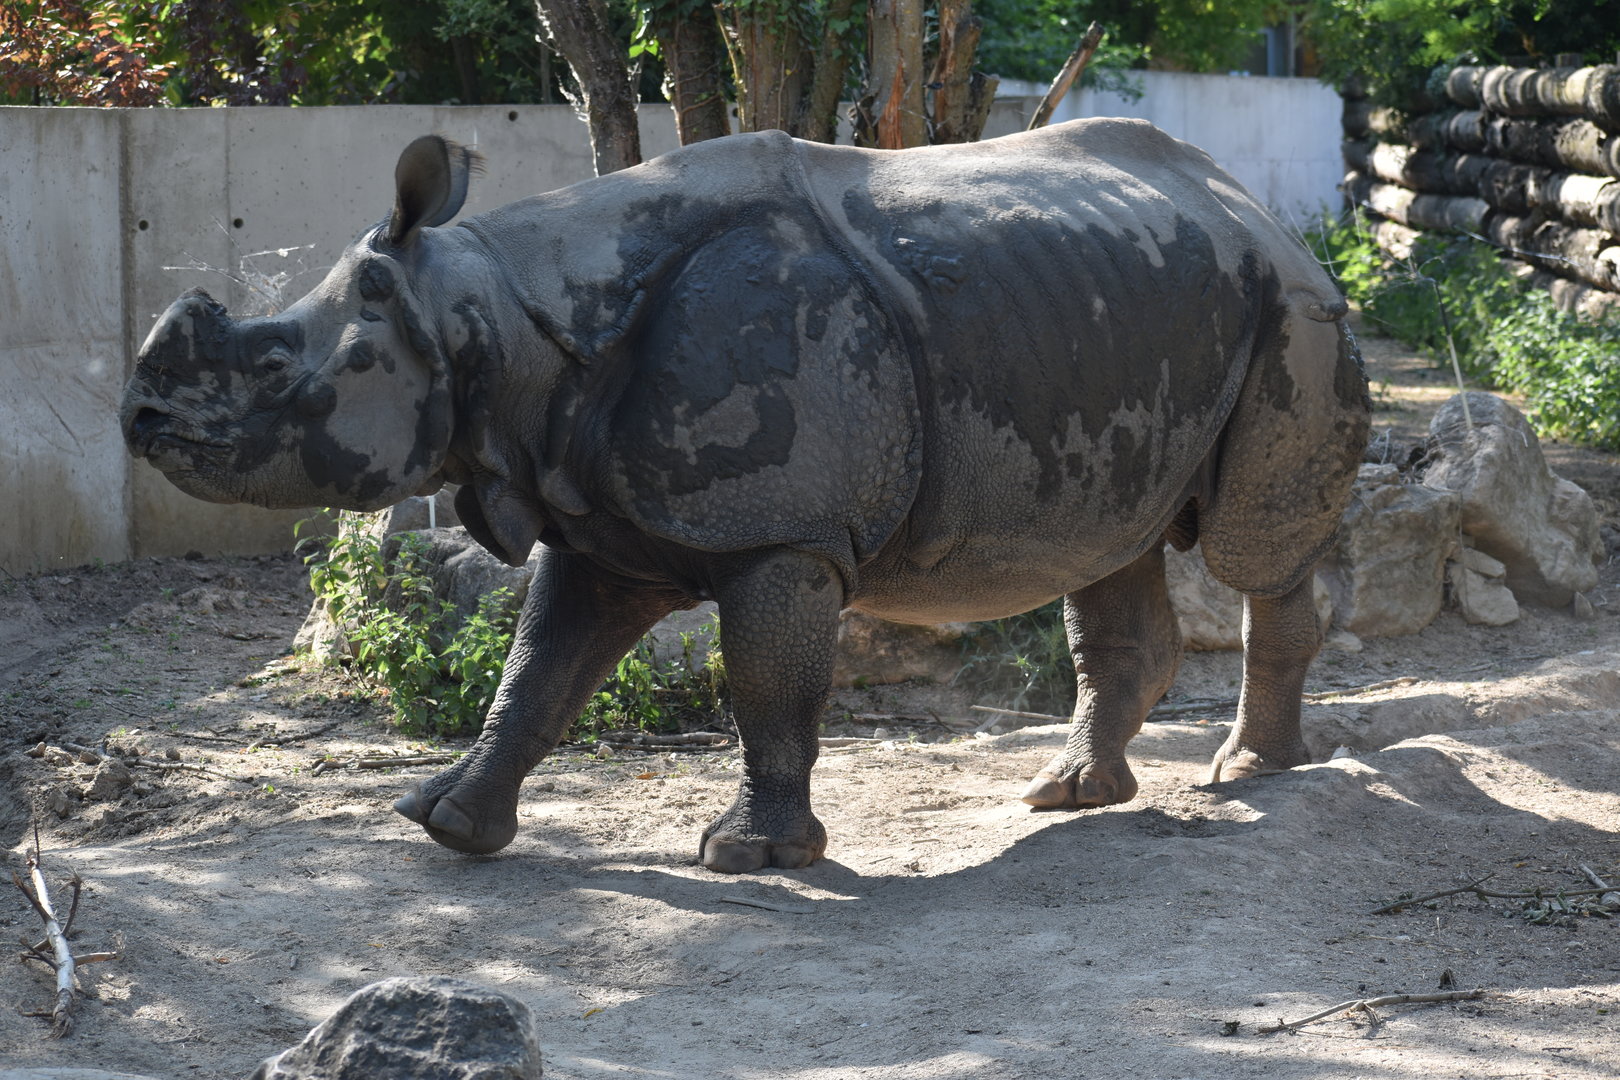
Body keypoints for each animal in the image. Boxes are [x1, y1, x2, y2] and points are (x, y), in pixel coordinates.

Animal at [122, 120, 1369, 872]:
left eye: (275, 367)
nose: (138, 421)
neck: (485, 316)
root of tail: (1254, 202)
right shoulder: (598, 520)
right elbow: (536, 674)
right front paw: (447, 827)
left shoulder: (779, 531)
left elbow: (765, 688)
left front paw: (750, 858)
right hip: (1126, 309)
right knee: (1108, 547)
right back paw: (1070, 795)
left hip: (1292, 305)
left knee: (1252, 554)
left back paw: (1252, 772)